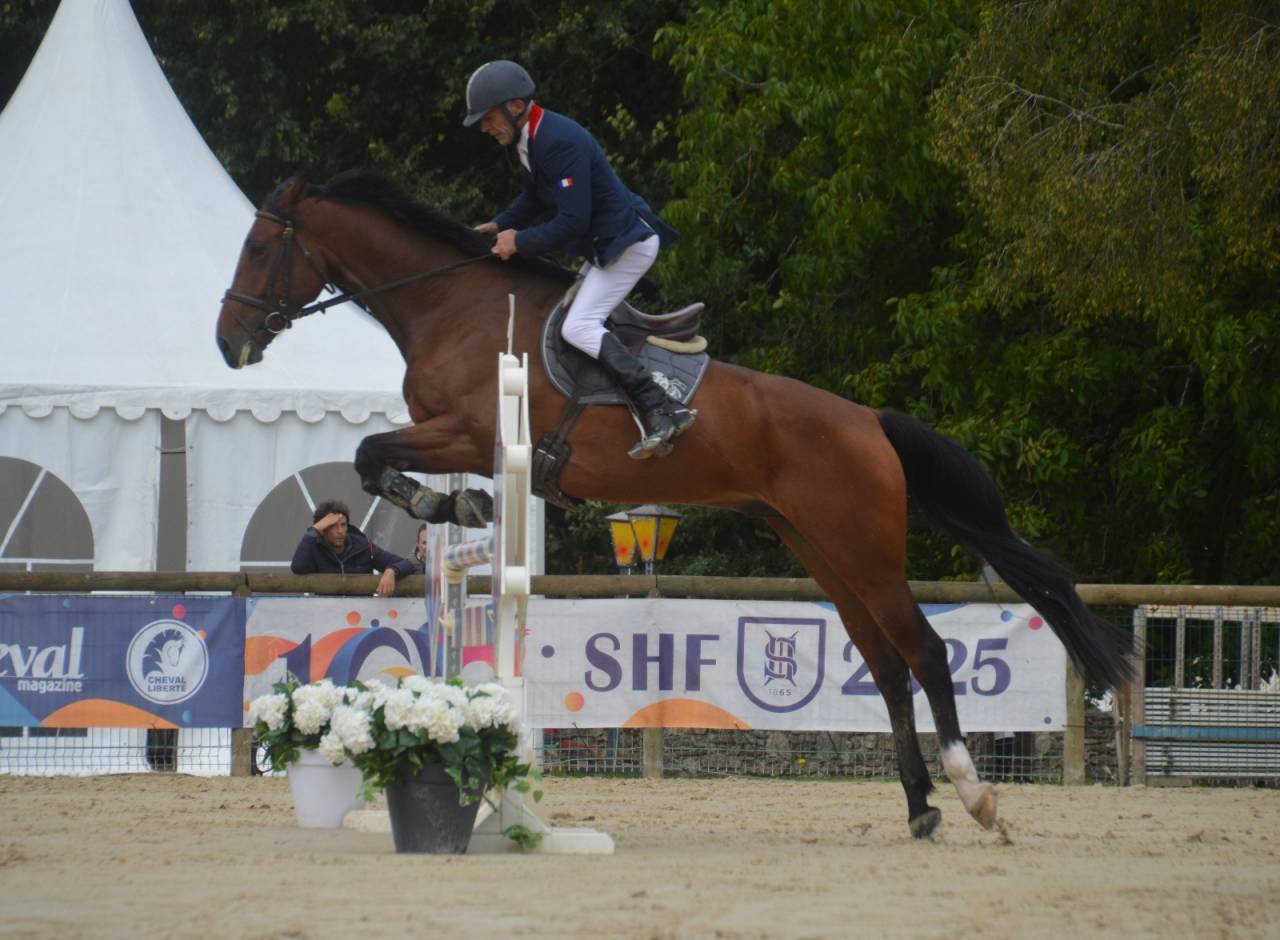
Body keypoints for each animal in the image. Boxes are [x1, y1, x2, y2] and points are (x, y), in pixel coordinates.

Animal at [216, 169, 1132, 839]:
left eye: (260, 247)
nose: (229, 344)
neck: (451, 305)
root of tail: (869, 420)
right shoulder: (455, 435)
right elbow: (377, 460)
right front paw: (459, 510)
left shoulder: (466, 432)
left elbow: (375, 456)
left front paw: (451, 506)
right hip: (822, 551)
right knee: (885, 667)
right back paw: (918, 809)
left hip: (864, 551)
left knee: (928, 654)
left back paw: (974, 795)